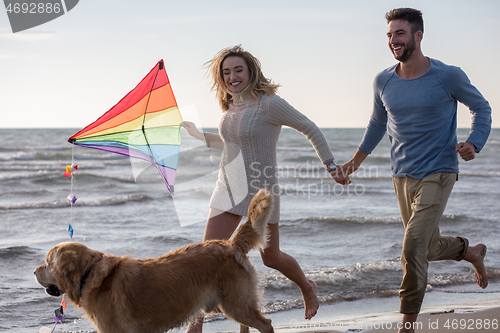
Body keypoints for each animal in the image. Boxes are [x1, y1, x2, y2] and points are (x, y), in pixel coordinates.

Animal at [36, 189, 274, 332]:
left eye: (47, 262)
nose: (34, 271)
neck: (89, 274)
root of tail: (232, 244)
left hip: (237, 303)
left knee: (266, 324)